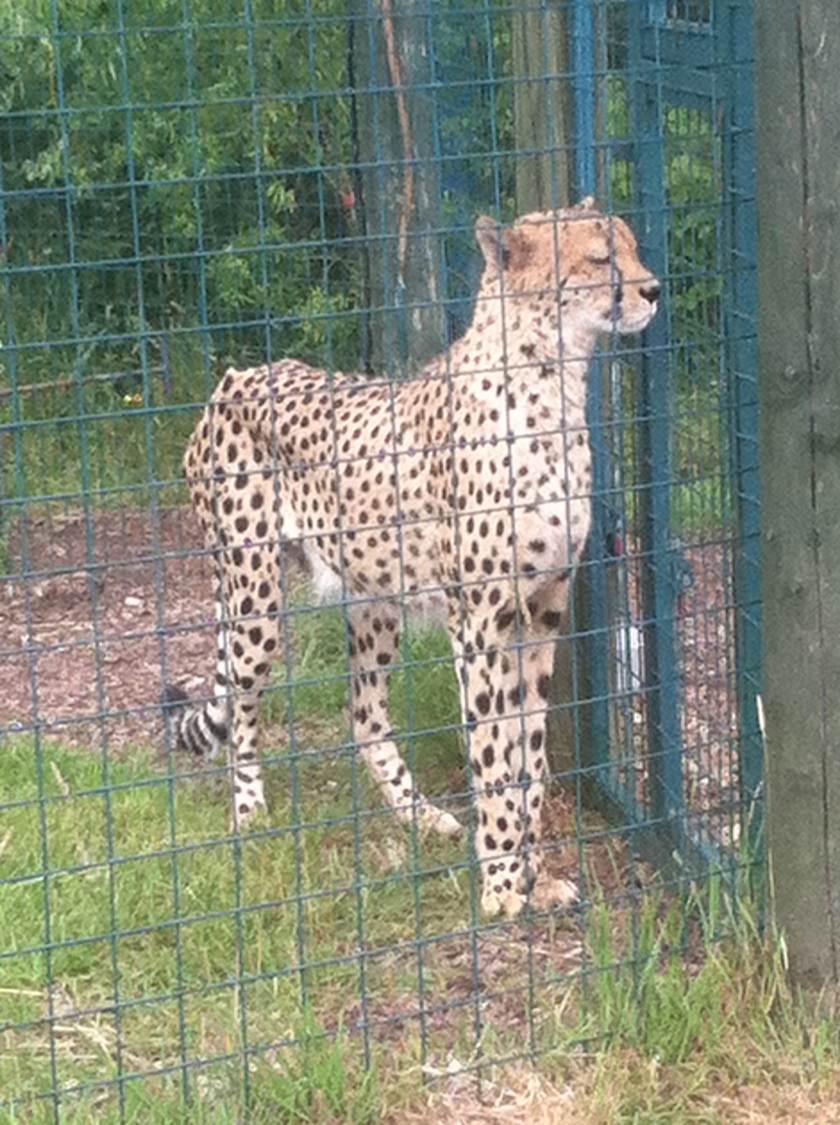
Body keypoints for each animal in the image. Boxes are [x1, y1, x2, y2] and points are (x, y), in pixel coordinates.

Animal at [164, 197, 660, 919]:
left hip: (372, 598)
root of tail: (237, 376)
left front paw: (535, 871)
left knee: (364, 712)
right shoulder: (480, 623)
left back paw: (418, 814)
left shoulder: (542, 612)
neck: (551, 381)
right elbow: (492, 751)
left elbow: (531, 753)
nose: (654, 290)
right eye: (600, 258)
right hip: (254, 595)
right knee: (245, 703)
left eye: (632, 247)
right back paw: (250, 810)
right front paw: (503, 884)